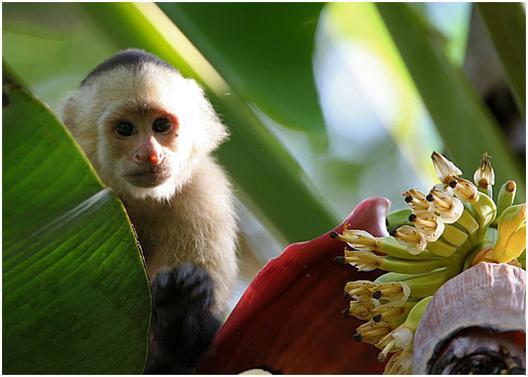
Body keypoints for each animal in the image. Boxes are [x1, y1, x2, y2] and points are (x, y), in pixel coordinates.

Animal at [60, 50, 238, 374]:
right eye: (125, 129)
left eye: (161, 125)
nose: (151, 155)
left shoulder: (204, 194)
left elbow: (191, 351)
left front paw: (180, 307)